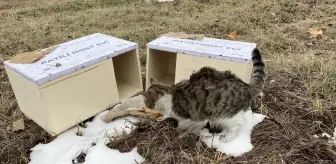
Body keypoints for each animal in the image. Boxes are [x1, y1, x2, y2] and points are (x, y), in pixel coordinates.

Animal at [107, 47, 266, 142]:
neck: (167, 93)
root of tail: (246, 85)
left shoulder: (195, 116)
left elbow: (186, 124)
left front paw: (182, 130)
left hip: (225, 114)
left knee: (236, 125)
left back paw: (227, 137)